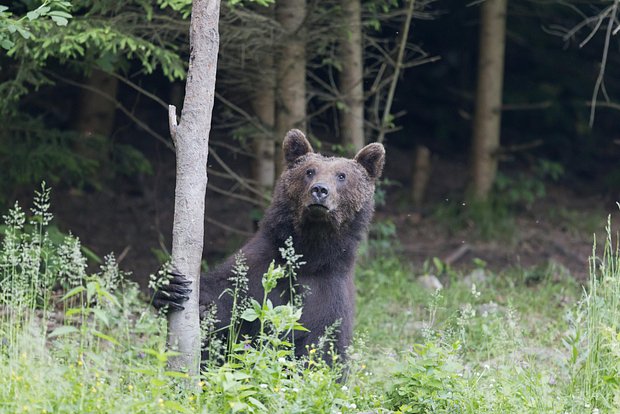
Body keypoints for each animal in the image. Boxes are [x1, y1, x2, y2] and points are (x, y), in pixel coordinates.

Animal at [153, 129, 386, 360]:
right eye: (309, 171)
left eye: (342, 176)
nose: (320, 190)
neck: (311, 252)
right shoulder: (256, 267)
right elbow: (223, 299)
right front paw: (171, 288)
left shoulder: (329, 292)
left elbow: (323, 347)